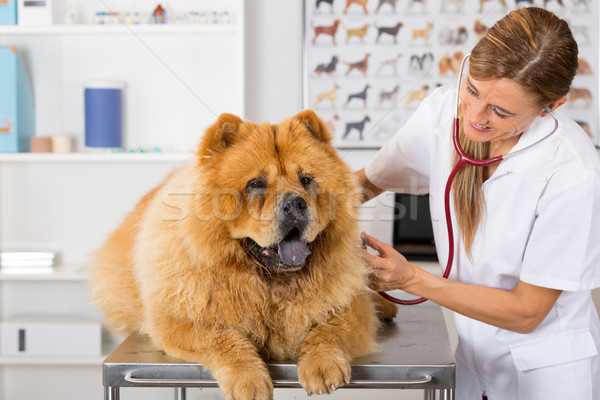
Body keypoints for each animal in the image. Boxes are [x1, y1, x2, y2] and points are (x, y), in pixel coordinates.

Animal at [91, 110, 396, 400]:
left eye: (307, 180)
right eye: (256, 184)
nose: (295, 204)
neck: (272, 284)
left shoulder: (352, 311)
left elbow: (329, 330)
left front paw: (322, 364)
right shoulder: (180, 320)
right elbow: (224, 338)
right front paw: (247, 379)